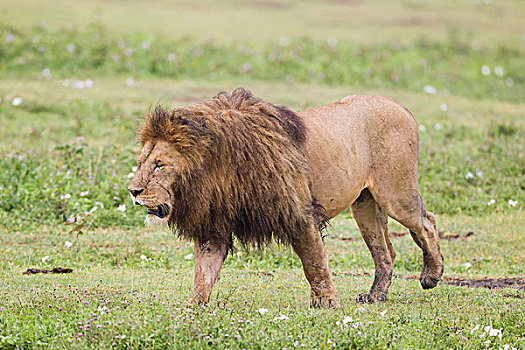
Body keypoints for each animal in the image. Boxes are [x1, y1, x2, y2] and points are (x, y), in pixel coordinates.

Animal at [127, 87, 442, 306]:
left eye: (159, 165)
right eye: (142, 162)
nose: (133, 191)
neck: (217, 170)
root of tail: (399, 105)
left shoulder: (299, 211)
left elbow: (314, 261)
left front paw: (325, 301)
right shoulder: (213, 226)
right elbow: (203, 272)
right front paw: (194, 307)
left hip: (395, 193)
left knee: (427, 221)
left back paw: (432, 275)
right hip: (364, 205)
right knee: (385, 251)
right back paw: (376, 295)